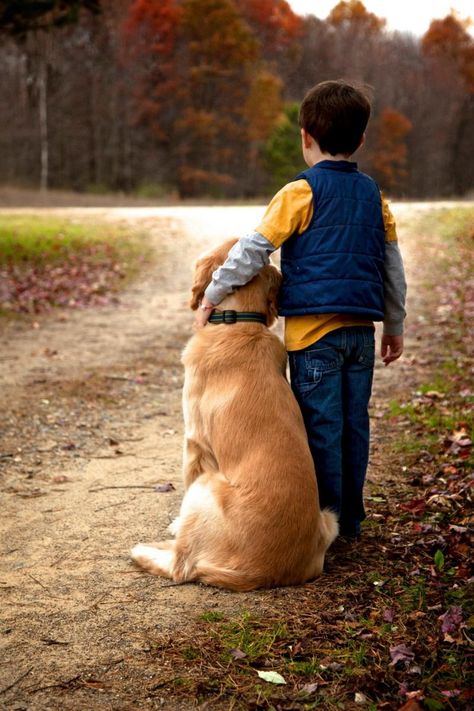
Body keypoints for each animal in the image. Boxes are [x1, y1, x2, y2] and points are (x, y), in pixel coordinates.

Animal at [130, 239, 338, 588]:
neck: (239, 321)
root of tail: (263, 573)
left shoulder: (194, 442)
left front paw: (174, 525)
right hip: (329, 520)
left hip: (207, 485)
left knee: (181, 565)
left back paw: (143, 552)